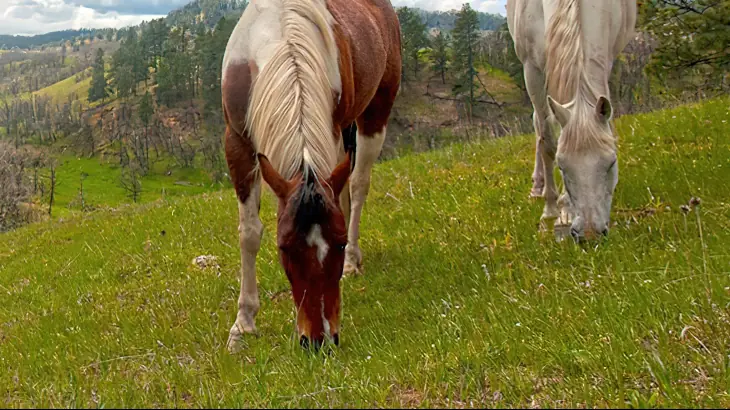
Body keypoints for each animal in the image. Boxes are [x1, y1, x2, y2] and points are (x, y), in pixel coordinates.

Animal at [221, 0, 401, 352]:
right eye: (284, 248)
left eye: (340, 244)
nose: (319, 341)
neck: (283, 39)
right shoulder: (236, 141)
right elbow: (249, 233)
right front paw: (243, 324)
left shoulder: (331, 132)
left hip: (376, 111)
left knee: (358, 185)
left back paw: (354, 262)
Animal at [506, 0, 636, 241]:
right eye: (562, 166)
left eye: (611, 163)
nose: (590, 234)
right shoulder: (531, 70)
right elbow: (547, 141)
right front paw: (552, 215)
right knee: (537, 123)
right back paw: (537, 188)